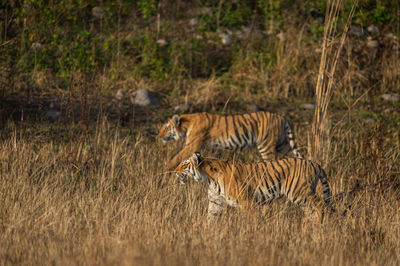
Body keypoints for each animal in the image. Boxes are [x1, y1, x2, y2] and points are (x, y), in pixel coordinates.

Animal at [158, 111, 302, 169]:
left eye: (165, 127)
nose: (158, 136)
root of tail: (281, 117)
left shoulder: (192, 145)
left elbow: (177, 157)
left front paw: (165, 168)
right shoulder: (214, 148)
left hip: (266, 146)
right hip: (283, 144)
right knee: (297, 155)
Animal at [175, 152, 334, 222]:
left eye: (184, 164)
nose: (175, 171)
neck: (208, 179)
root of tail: (315, 163)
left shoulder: (247, 201)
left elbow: (251, 219)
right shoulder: (216, 202)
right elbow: (210, 218)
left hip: (299, 192)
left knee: (320, 204)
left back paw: (317, 224)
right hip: (302, 197)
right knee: (310, 210)